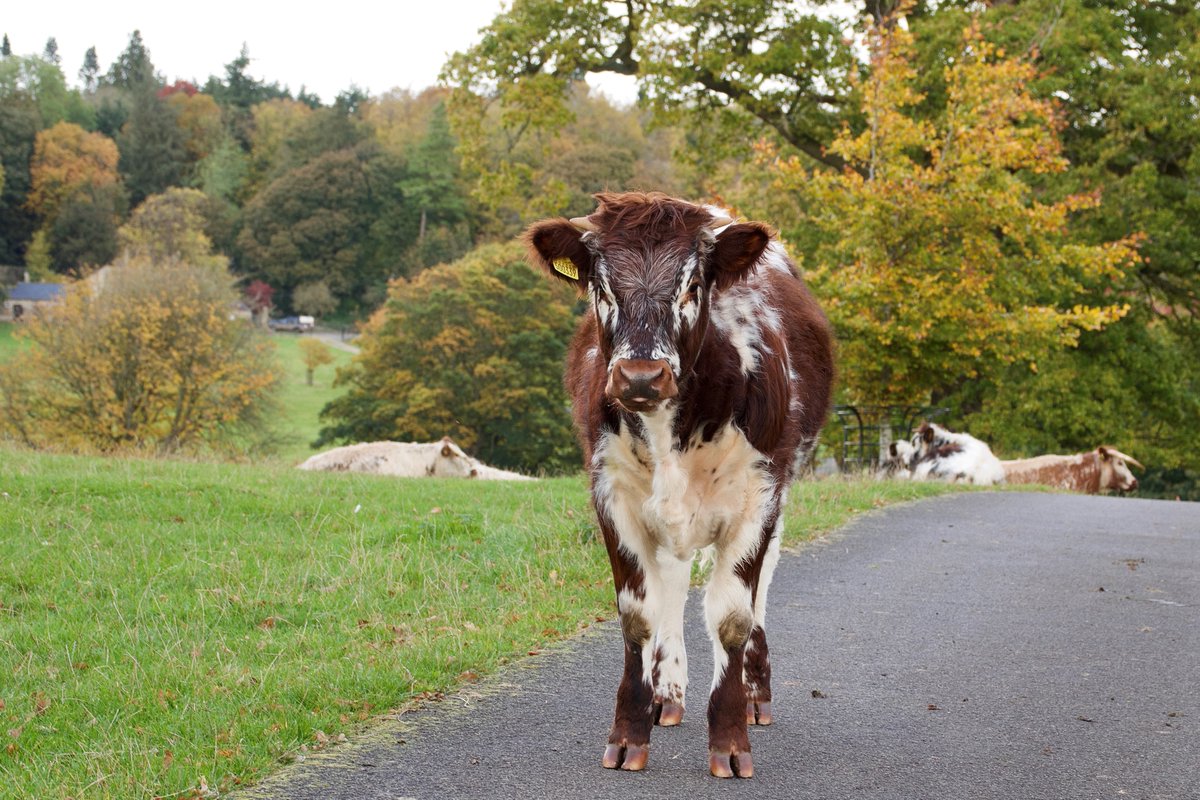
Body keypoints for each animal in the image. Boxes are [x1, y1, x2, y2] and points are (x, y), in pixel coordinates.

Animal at [525, 191, 834, 779]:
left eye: (693, 286)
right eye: (601, 288)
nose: (641, 377)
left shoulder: (758, 496)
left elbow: (733, 617)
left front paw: (731, 739)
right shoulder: (611, 493)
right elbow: (638, 615)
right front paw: (629, 731)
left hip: (780, 492)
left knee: (759, 586)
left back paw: (754, 693)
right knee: (669, 581)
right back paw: (665, 693)